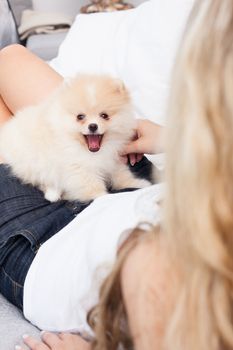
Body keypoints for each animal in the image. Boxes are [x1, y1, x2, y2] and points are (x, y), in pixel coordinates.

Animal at [0, 75, 150, 201]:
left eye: (104, 116)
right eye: (80, 117)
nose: (93, 126)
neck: (94, 152)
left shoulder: (113, 160)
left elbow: (122, 175)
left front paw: (138, 184)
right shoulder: (77, 167)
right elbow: (91, 185)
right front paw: (103, 197)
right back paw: (53, 193)